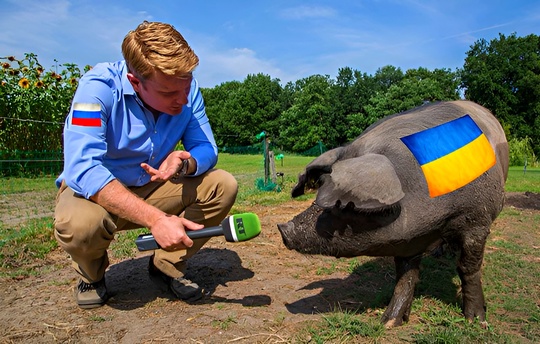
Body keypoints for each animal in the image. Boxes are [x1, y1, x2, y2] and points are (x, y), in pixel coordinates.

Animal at [276, 100, 508, 328]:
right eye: (322, 185)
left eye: (345, 204)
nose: (283, 228)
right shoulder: (408, 240)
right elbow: (405, 276)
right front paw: (388, 323)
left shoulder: (477, 221)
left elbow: (468, 268)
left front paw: (476, 321)